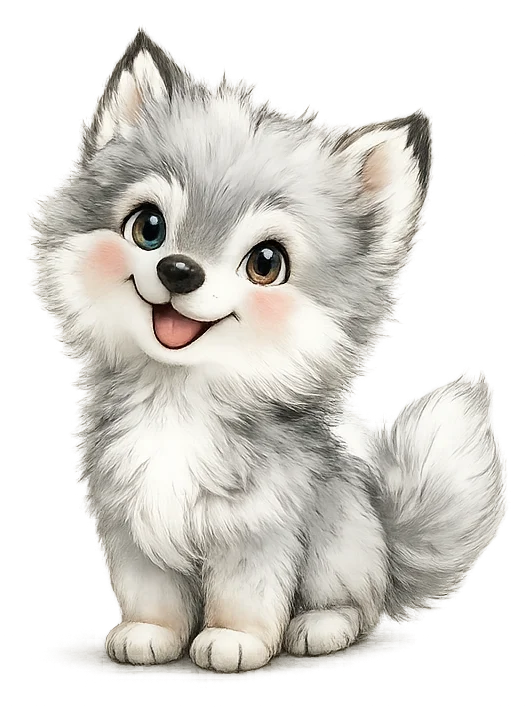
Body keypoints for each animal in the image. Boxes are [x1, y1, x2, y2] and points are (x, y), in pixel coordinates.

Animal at [29, 28, 505, 672]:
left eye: (266, 263)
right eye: (148, 227)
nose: (178, 269)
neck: (178, 404)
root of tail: (387, 544)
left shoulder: (256, 531)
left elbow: (245, 598)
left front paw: (233, 642)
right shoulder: (132, 523)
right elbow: (151, 595)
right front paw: (148, 634)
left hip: (341, 546)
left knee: (354, 606)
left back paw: (320, 626)